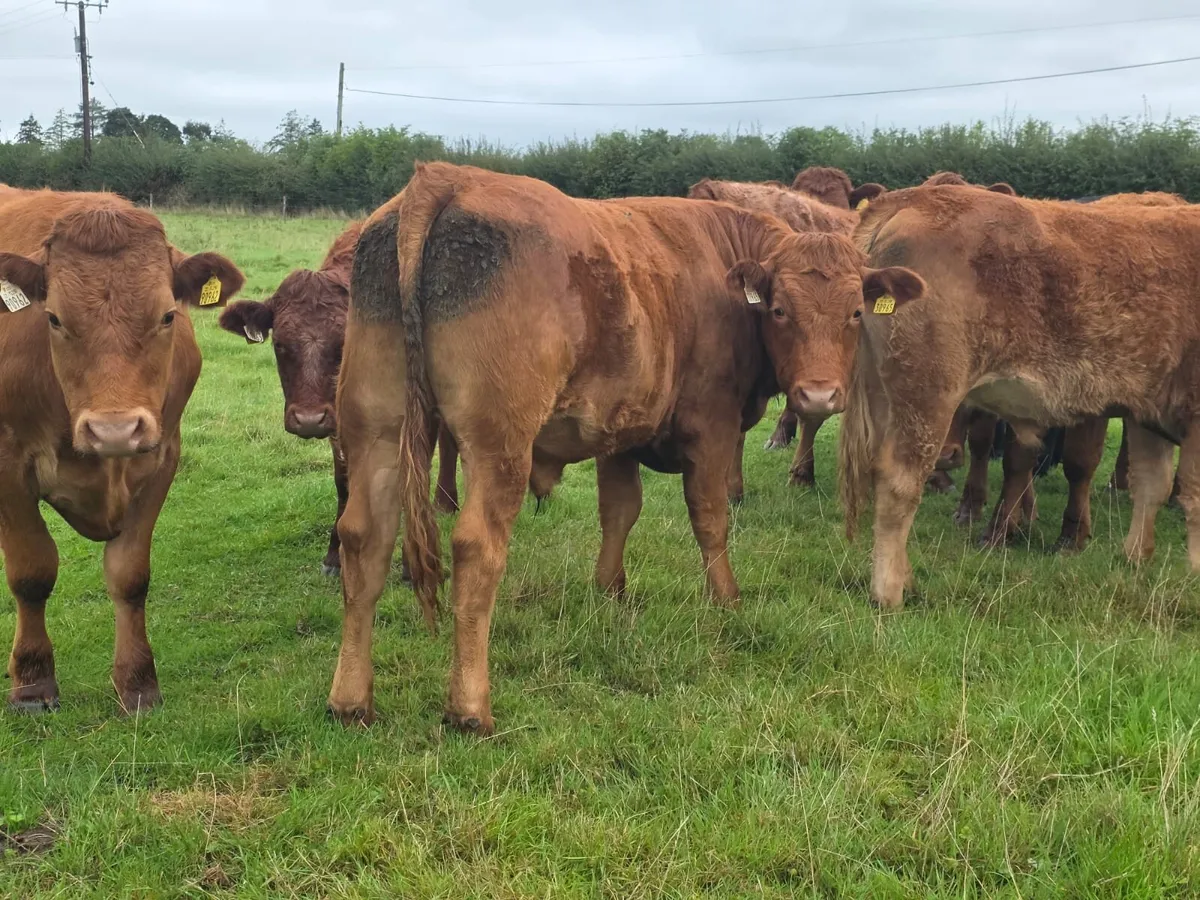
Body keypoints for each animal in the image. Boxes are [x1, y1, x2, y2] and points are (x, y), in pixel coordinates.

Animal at [0, 187, 244, 713]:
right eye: (53, 318)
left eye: (168, 315)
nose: (113, 431)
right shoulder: (6, 466)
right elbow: (31, 572)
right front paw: (32, 681)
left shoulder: (161, 457)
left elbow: (130, 576)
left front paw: (137, 682)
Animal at [218, 222, 461, 577]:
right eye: (280, 345)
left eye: (343, 345)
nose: (308, 420)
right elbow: (344, 482)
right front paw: (336, 554)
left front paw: (411, 562)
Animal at [326, 162, 925, 729]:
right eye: (781, 310)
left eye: (855, 312)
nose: (818, 395)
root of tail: (446, 178)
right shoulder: (711, 426)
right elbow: (710, 516)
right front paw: (726, 597)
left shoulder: (617, 429)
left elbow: (618, 511)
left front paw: (609, 587)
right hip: (499, 446)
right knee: (476, 549)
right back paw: (469, 707)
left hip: (377, 430)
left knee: (363, 539)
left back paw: (350, 700)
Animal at [837, 184, 1200, 609]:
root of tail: (915, 196)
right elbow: (1193, 497)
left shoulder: (1148, 411)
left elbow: (1152, 486)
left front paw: (1135, 559)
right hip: (927, 395)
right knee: (900, 481)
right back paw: (889, 591)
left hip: (883, 394)